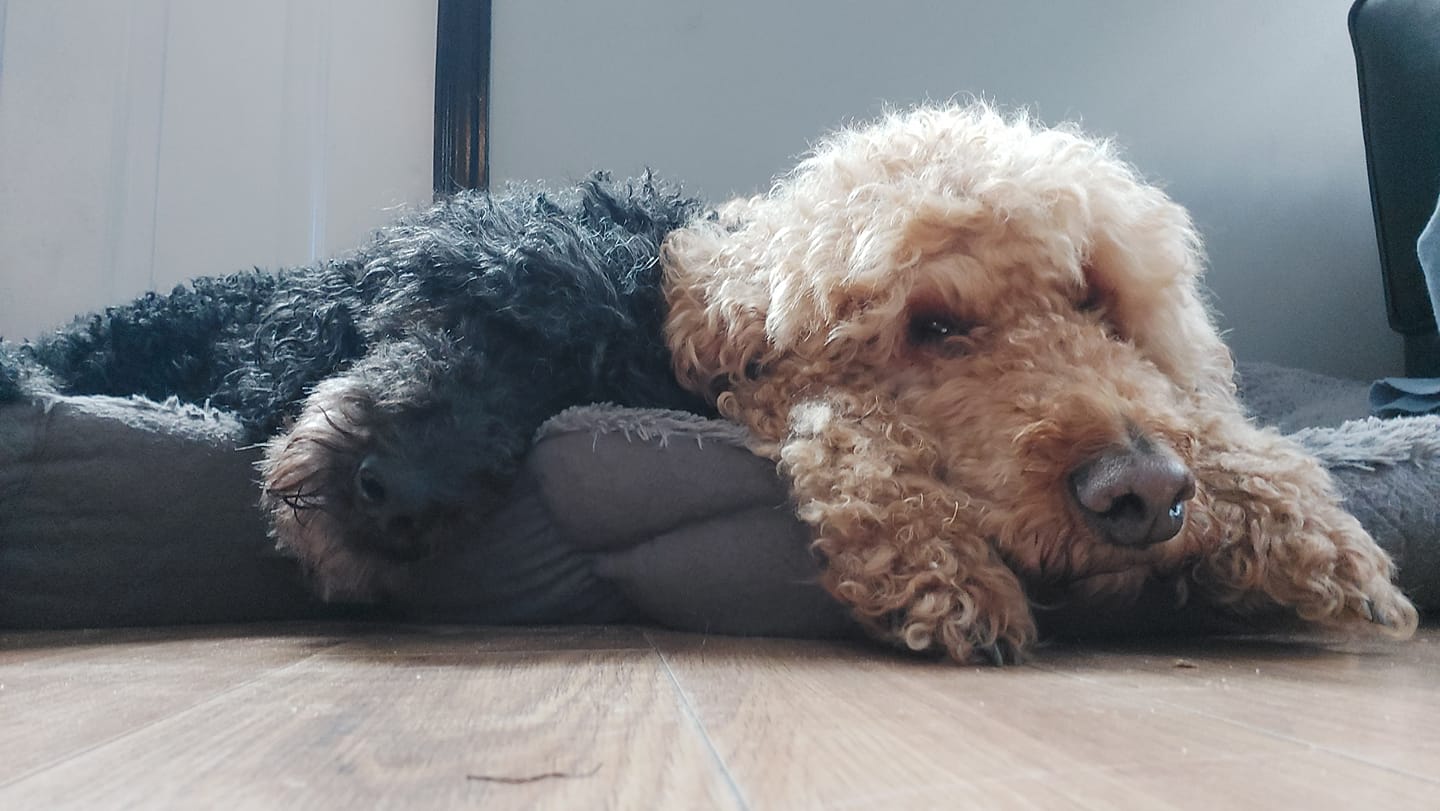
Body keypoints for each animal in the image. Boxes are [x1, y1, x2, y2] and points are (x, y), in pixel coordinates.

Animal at [662, 104, 1416, 662]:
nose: (1145, 491)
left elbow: (1206, 423)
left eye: (1094, 300)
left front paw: (1311, 530)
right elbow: (852, 425)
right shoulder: (772, 393)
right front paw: (942, 561)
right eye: (931, 325)